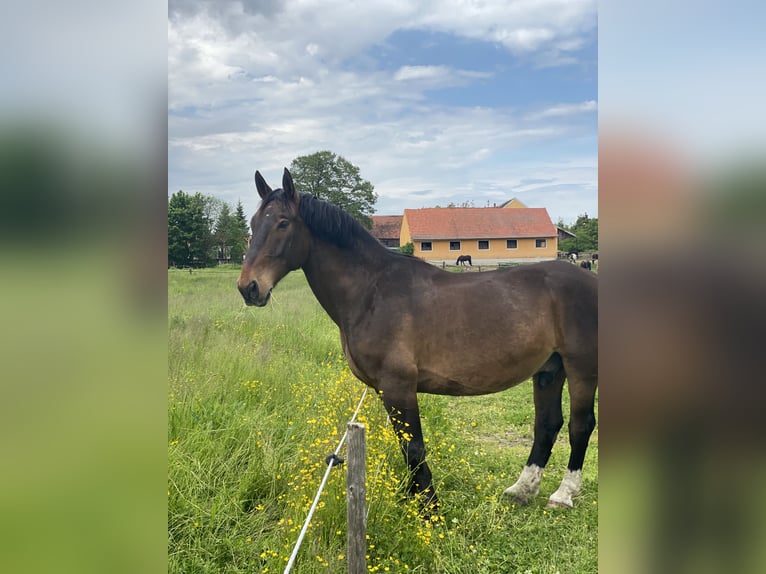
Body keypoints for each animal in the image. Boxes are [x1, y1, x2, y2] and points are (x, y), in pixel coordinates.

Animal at [238, 169, 598, 510]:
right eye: (253, 223)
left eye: (283, 223)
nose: (249, 288)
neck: (372, 292)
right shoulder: (386, 390)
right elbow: (405, 446)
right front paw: (411, 500)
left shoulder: (398, 386)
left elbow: (413, 447)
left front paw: (428, 507)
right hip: (549, 369)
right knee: (547, 424)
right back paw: (522, 491)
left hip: (581, 367)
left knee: (580, 425)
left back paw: (563, 495)